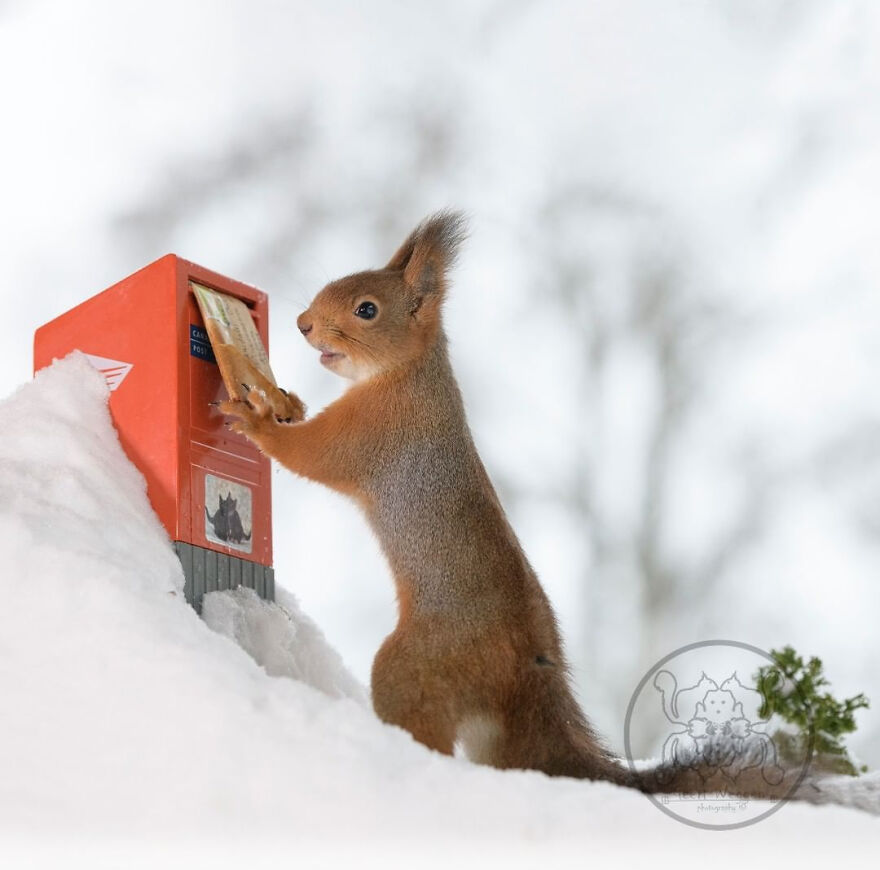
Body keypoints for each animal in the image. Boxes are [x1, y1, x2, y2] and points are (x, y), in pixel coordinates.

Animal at [221, 211, 810, 800]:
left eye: (366, 309)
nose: (302, 324)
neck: (407, 373)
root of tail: (527, 670)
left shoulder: (372, 432)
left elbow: (311, 455)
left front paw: (257, 420)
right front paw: (289, 404)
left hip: (416, 665)